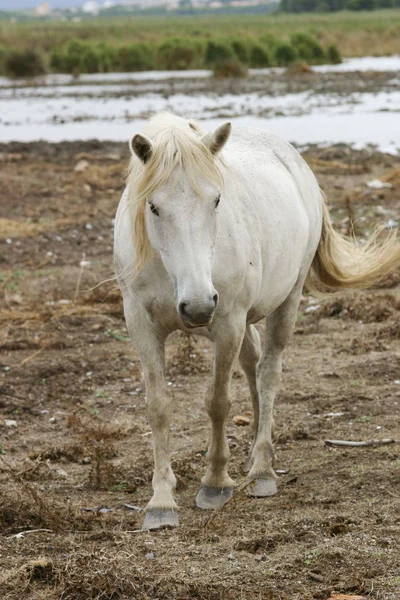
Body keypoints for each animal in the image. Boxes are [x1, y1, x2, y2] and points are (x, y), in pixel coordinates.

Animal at [113, 112, 400, 528]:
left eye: (216, 200)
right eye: (152, 207)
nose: (198, 307)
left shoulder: (227, 323)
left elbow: (218, 401)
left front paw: (215, 482)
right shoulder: (141, 325)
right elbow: (158, 406)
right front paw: (161, 501)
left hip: (286, 300)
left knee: (268, 371)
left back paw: (262, 468)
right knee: (252, 364)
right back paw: (254, 453)